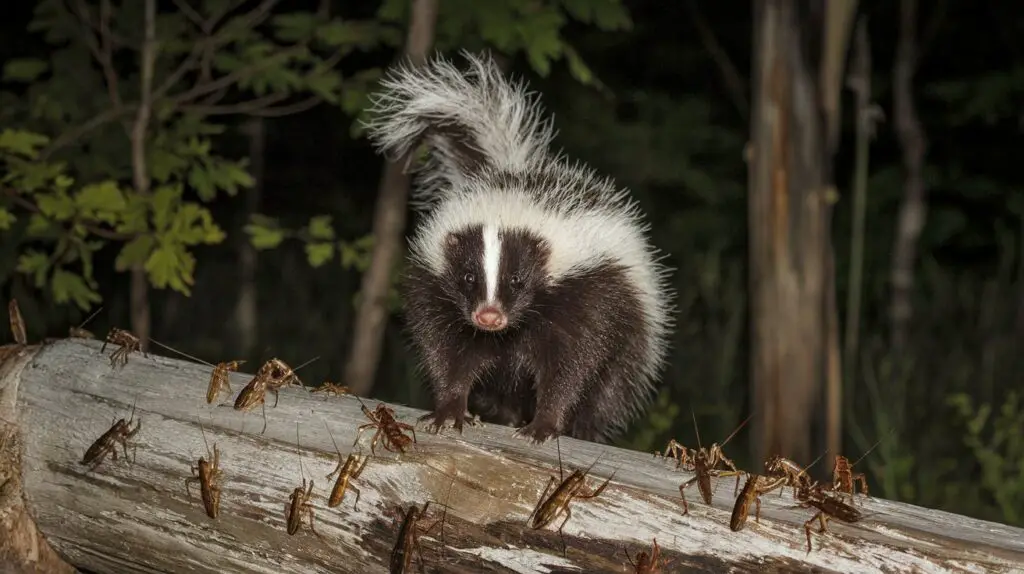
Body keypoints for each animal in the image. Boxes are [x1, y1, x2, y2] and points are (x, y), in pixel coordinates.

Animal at [364, 51, 675, 444]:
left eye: (518, 280)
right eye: (467, 277)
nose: (489, 316)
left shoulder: (590, 296)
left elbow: (572, 364)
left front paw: (544, 425)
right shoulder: (432, 288)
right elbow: (447, 351)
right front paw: (450, 411)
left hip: (634, 328)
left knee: (613, 384)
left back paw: (584, 429)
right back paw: (507, 415)